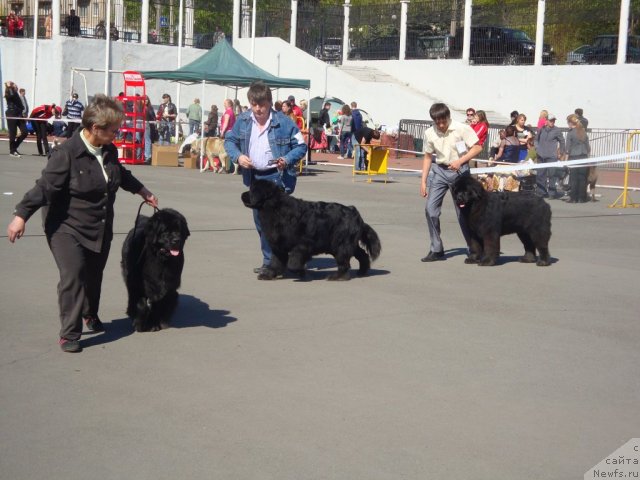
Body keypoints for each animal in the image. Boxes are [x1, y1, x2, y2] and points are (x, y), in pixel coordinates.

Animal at [240, 180, 380, 282]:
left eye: (251, 190)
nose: (242, 195)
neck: (276, 208)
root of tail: (355, 213)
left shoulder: (303, 245)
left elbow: (293, 262)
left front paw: (300, 272)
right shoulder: (279, 246)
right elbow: (276, 261)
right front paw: (269, 274)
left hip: (341, 244)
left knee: (344, 262)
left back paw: (337, 277)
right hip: (347, 243)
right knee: (362, 254)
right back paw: (362, 271)